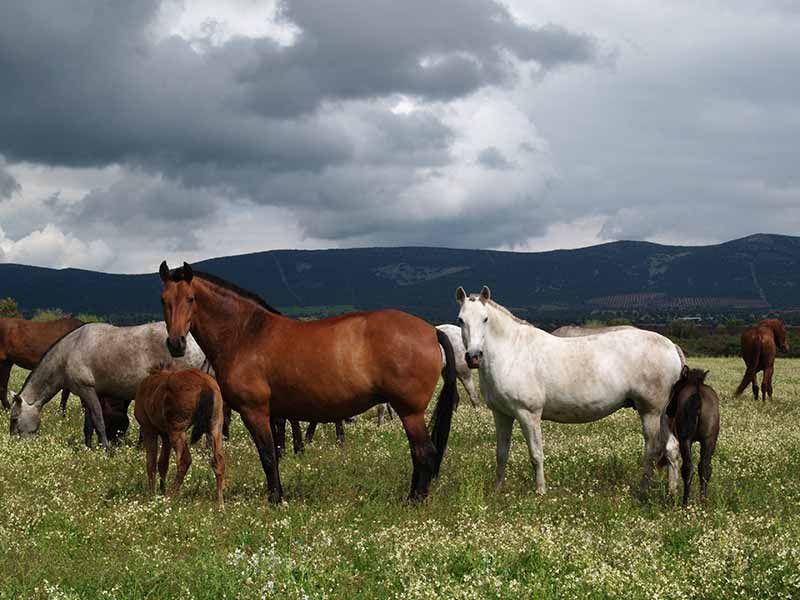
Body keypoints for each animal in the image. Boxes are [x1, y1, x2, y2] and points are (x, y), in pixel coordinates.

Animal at [9, 324, 206, 450]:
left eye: (14, 419)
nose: (13, 444)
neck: (68, 351)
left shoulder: (87, 390)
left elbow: (98, 420)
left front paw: (105, 449)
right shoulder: (87, 393)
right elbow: (89, 423)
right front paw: (88, 447)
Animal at [133, 366, 223, 506]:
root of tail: (205, 385)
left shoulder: (149, 429)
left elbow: (151, 463)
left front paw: (152, 494)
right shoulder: (165, 434)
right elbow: (163, 463)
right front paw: (161, 491)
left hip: (177, 430)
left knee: (184, 460)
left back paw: (171, 496)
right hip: (215, 426)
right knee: (218, 461)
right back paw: (220, 503)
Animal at [158, 262, 456, 502]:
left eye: (191, 299)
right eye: (163, 300)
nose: (176, 344)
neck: (246, 333)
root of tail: (431, 331)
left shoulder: (255, 411)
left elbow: (268, 455)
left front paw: (275, 498)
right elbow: (277, 450)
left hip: (410, 412)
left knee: (424, 452)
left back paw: (415, 500)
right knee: (419, 453)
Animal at [456, 288, 680, 494]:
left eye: (485, 319)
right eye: (461, 320)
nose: (473, 357)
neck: (512, 352)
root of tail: (671, 346)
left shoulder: (528, 414)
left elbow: (536, 454)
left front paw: (540, 492)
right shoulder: (502, 414)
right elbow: (501, 454)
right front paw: (496, 491)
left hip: (650, 412)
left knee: (652, 450)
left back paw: (643, 490)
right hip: (663, 414)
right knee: (671, 448)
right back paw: (672, 491)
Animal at [664, 366, 720, 506]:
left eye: (676, 387)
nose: (668, 410)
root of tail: (697, 392)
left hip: (685, 440)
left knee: (688, 468)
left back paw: (685, 503)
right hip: (709, 439)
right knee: (704, 468)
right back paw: (703, 501)